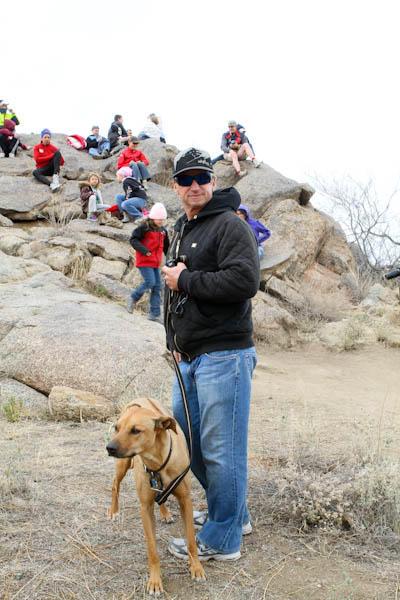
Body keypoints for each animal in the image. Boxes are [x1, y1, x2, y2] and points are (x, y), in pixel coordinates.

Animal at [107, 398, 206, 596]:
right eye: (116, 427)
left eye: (135, 430)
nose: (109, 448)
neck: (158, 462)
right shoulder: (145, 507)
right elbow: (152, 551)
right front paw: (154, 581)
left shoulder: (185, 501)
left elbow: (191, 541)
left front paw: (197, 568)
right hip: (122, 465)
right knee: (115, 484)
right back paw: (114, 511)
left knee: (161, 497)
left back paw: (165, 513)